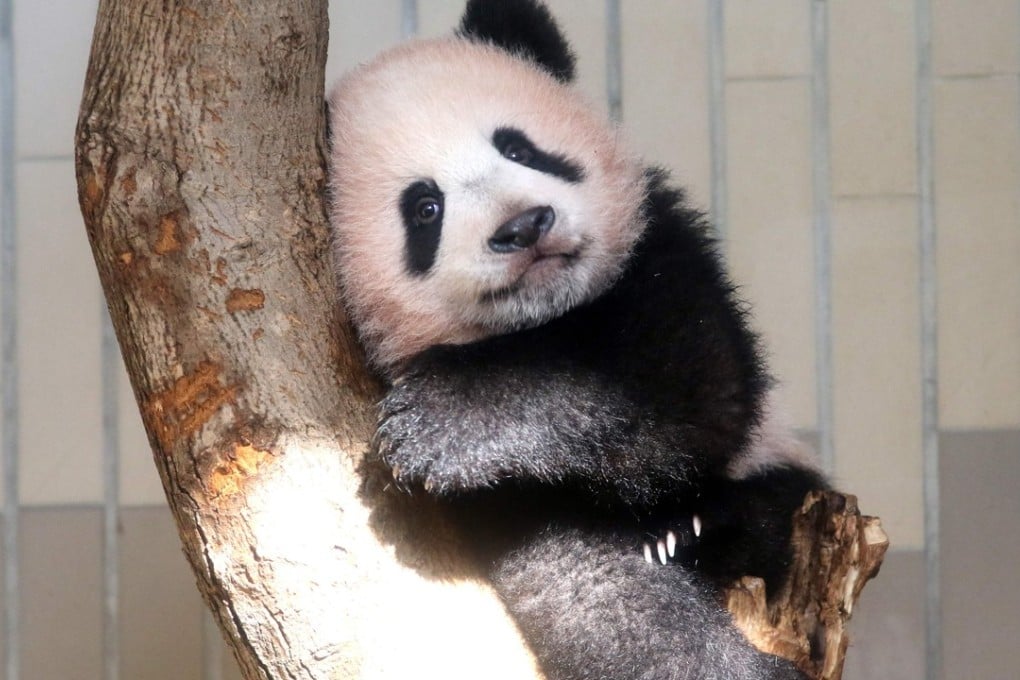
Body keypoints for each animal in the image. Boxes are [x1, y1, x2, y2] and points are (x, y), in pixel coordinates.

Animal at [327, 1, 827, 678]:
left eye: (520, 148)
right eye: (425, 208)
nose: (524, 226)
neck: (546, 318)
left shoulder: (664, 251)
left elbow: (689, 383)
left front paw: (438, 422)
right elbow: (593, 592)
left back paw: (700, 528)